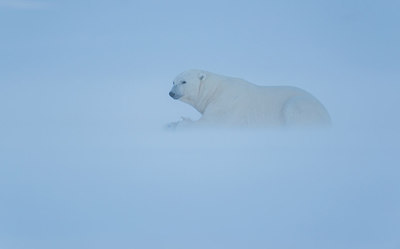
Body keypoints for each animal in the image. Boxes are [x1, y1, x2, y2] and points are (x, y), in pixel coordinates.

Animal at [167, 69, 330, 129]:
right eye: (173, 82)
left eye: (184, 81)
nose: (171, 93)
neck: (214, 90)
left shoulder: (227, 102)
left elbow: (212, 122)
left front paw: (180, 123)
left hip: (300, 104)